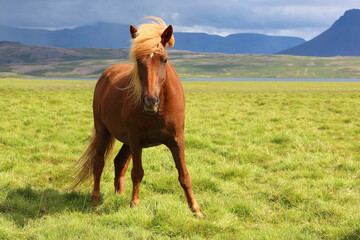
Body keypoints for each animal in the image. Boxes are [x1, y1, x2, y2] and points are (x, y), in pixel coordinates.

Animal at [74, 17, 202, 218]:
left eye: (164, 60)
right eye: (138, 61)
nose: (151, 101)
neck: (159, 111)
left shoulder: (177, 140)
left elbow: (184, 175)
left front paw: (195, 209)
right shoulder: (136, 140)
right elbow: (137, 172)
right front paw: (134, 204)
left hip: (126, 142)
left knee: (119, 163)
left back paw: (119, 194)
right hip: (104, 132)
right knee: (98, 163)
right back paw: (95, 199)